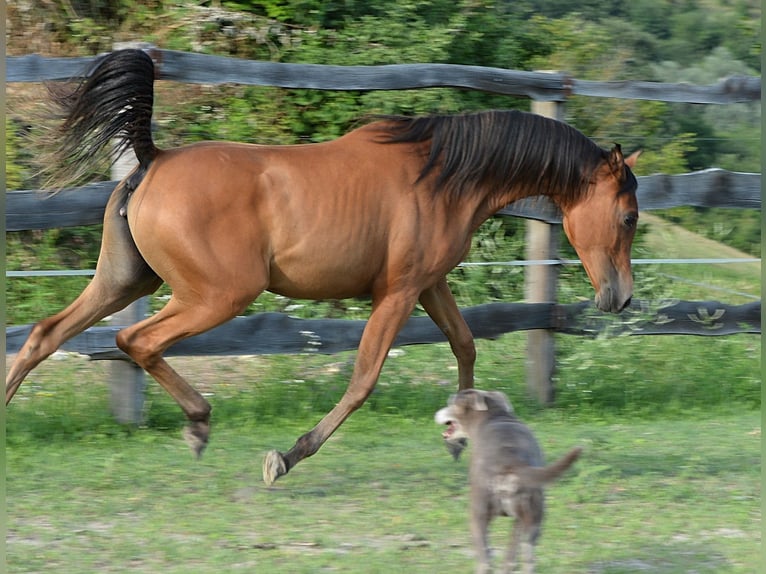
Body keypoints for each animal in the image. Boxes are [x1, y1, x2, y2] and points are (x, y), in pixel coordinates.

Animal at [6, 51, 640, 488]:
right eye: (629, 215)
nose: (621, 298)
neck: (443, 176)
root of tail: (152, 159)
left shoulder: (427, 284)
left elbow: (465, 347)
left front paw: (460, 439)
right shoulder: (398, 292)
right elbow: (363, 380)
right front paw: (285, 458)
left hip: (125, 280)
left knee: (44, 335)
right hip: (216, 296)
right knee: (135, 340)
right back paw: (199, 422)